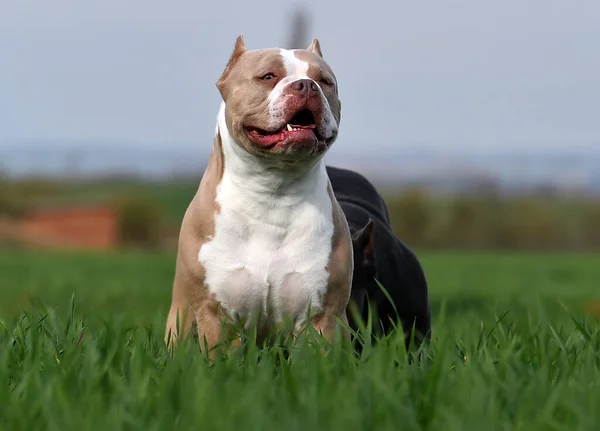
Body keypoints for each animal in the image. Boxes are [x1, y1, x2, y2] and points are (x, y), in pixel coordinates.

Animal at [164, 36, 352, 354]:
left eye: (326, 81)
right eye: (268, 76)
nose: (306, 85)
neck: (273, 191)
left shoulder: (320, 317)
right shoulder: (217, 314)